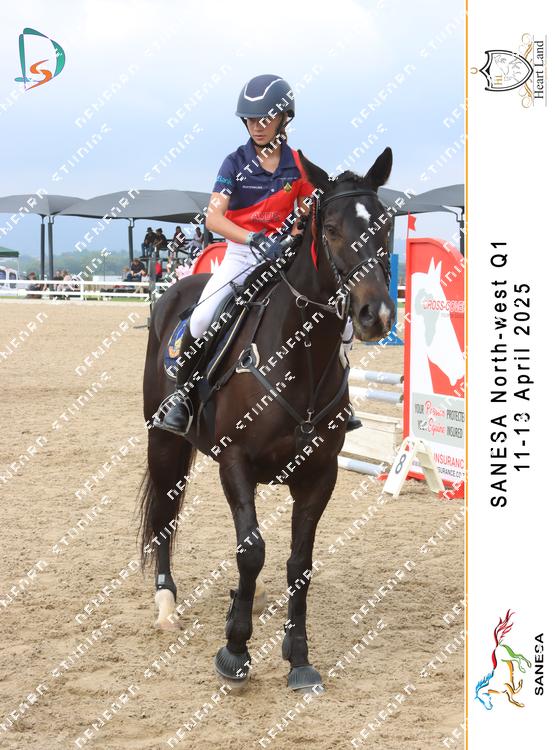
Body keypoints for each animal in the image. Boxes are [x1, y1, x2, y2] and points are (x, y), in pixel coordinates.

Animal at [138, 147, 396, 691]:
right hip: (165, 442)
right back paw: (166, 603)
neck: (299, 356)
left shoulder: (320, 474)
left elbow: (299, 562)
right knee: (165, 517)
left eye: (385, 224)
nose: (376, 315)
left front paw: (298, 656)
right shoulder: (235, 463)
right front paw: (235, 649)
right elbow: (251, 551)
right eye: (331, 229)